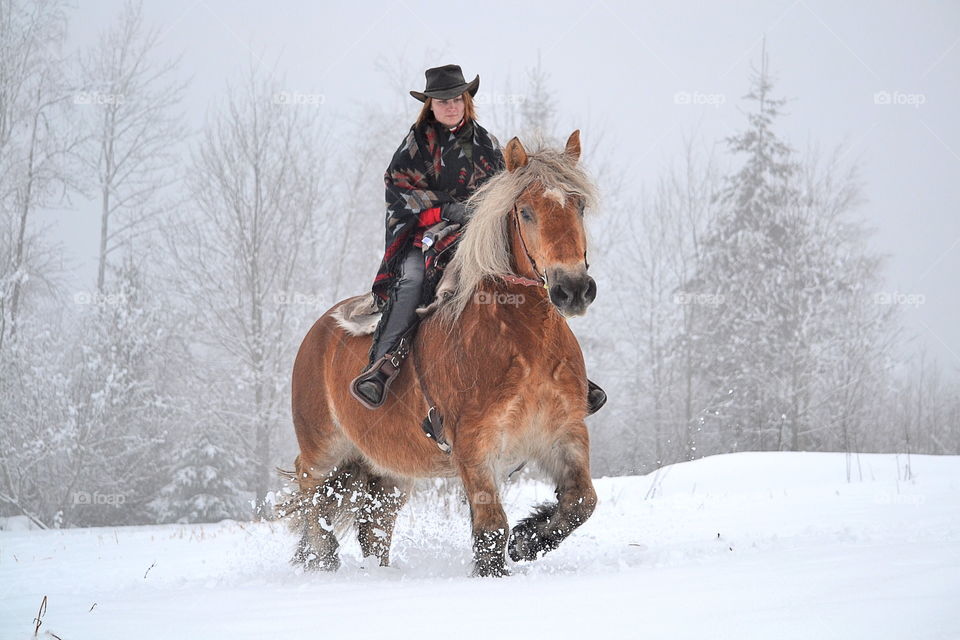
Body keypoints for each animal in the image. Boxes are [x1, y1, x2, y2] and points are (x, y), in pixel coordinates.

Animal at [278, 129, 604, 576]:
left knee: (373, 526)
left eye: (580, 205)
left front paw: (527, 540)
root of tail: (317, 334)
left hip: (388, 469)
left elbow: (581, 503)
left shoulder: (564, 433)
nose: (572, 289)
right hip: (322, 450)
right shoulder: (474, 446)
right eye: (525, 212)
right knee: (313, 499)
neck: (523, 340)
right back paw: (321, 558)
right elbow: (490, 530)